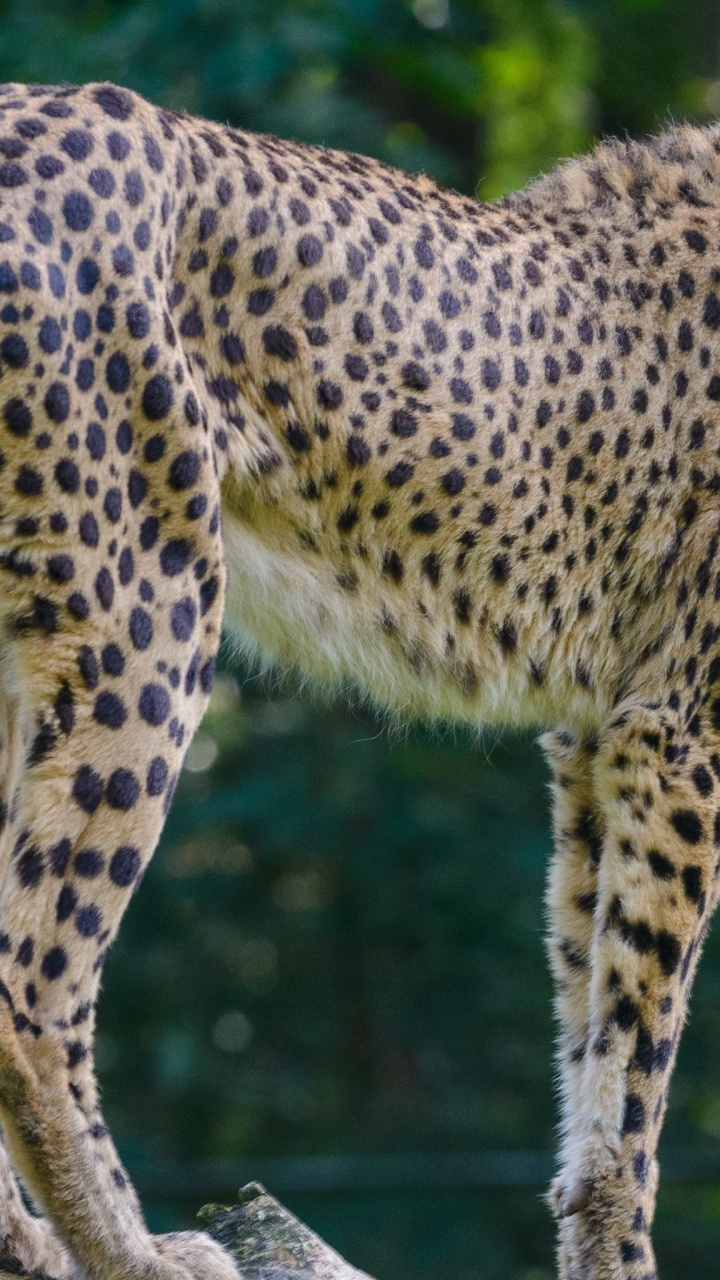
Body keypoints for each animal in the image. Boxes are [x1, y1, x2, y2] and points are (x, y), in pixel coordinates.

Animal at [0, 76, 715, 1280]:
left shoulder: (596, 734)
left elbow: (590, 1018)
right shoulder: (676, 732)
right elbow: (637, 1063)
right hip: (148, 601)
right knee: (31, 984)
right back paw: (132, 1252)